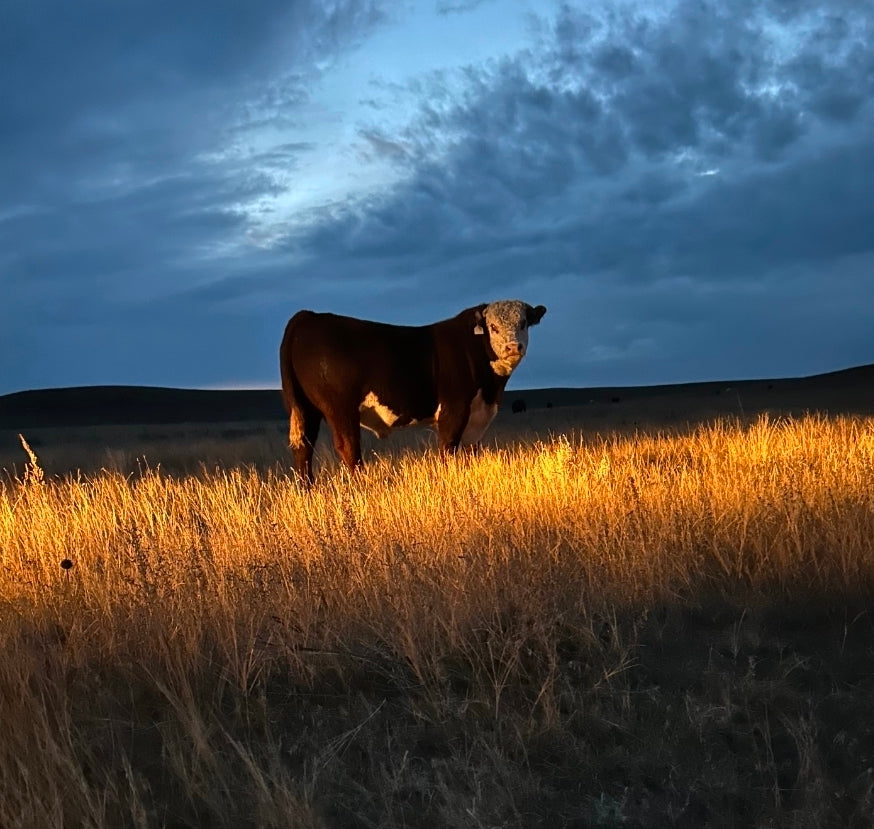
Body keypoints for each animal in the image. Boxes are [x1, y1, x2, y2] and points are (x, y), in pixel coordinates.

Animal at [279, 300, 546, 483]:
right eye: (493, 327)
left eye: (523, 323)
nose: (513, 346)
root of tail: (308, 317)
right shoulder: (454, 410)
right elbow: (448, 448)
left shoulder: (477, 419)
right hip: (340, 408)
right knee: (348, 447)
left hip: (305, 408)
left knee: (304, 448)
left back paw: (308, 490)